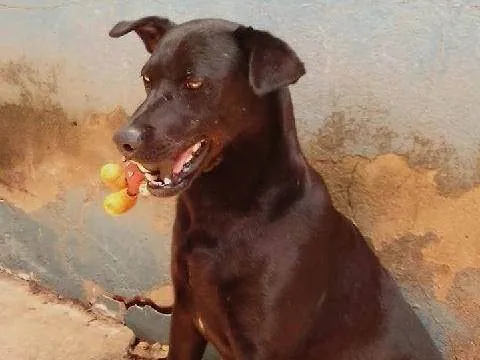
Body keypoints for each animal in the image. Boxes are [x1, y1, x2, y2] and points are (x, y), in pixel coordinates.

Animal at [108, 15, 442, 358]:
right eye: (147, 79)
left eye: (195, 83)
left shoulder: (262, 344)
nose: (123, 140)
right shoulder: (186, 314)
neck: (226, 208)